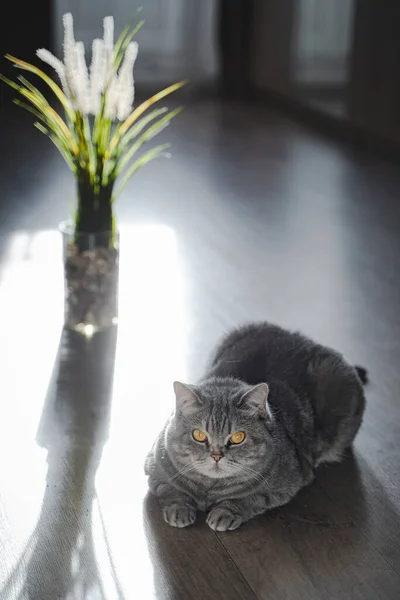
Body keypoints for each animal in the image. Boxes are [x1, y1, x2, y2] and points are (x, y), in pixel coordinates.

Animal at [145, 324, 368, 528]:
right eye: (199, 435)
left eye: (237, 437)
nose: (216, 456)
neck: (210, 488)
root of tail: (297, 336)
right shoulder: (154, 469)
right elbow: (172, 490)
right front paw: (179, 510)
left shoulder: (285, 486)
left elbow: (249, 499)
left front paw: (224, 513)